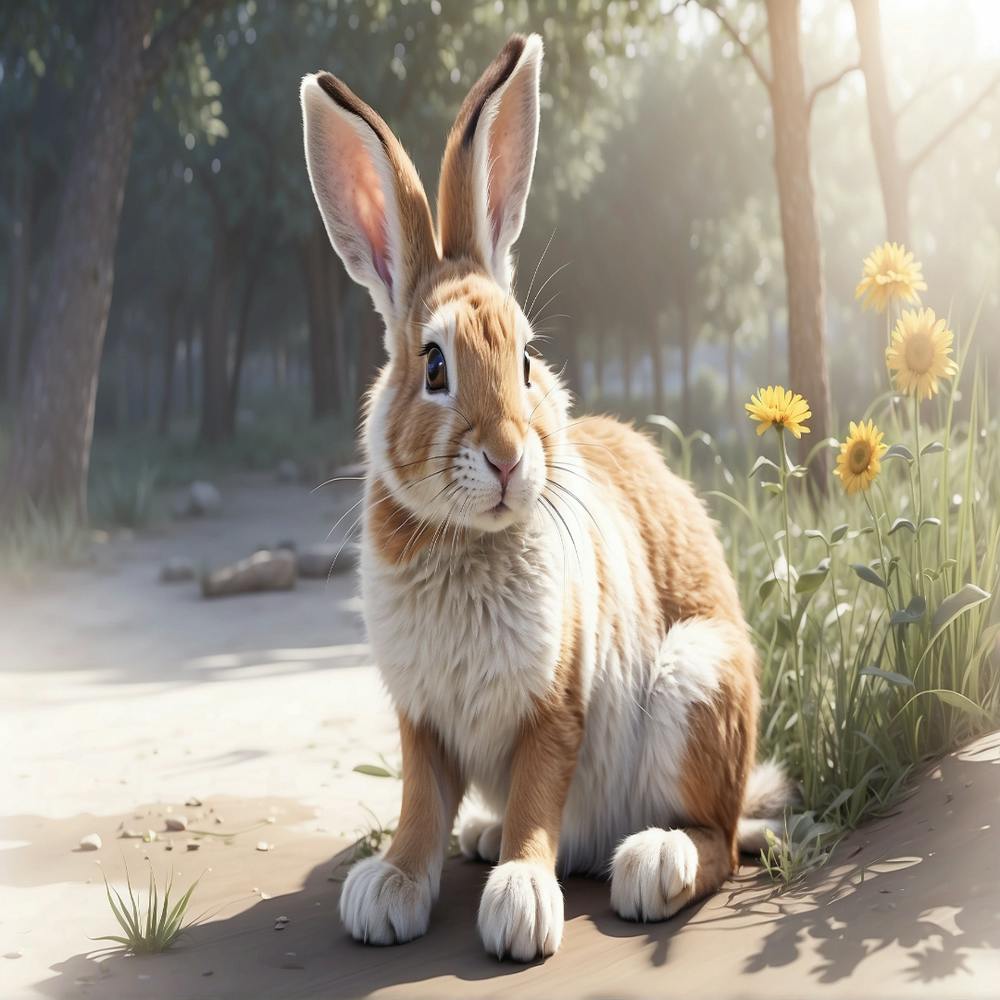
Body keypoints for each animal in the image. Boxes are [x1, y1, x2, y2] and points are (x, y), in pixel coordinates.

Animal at [300, 33, 789, 962]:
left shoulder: (555, 706)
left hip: (694, 690)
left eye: (527, 358)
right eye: (434, 366)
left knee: (718, 842)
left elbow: (538, 794)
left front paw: (519, 906)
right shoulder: (421, 719)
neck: (464, 539)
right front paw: (389, 892)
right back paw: (482, 838)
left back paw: (651, 863)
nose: (506, 457)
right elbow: (420, 806)